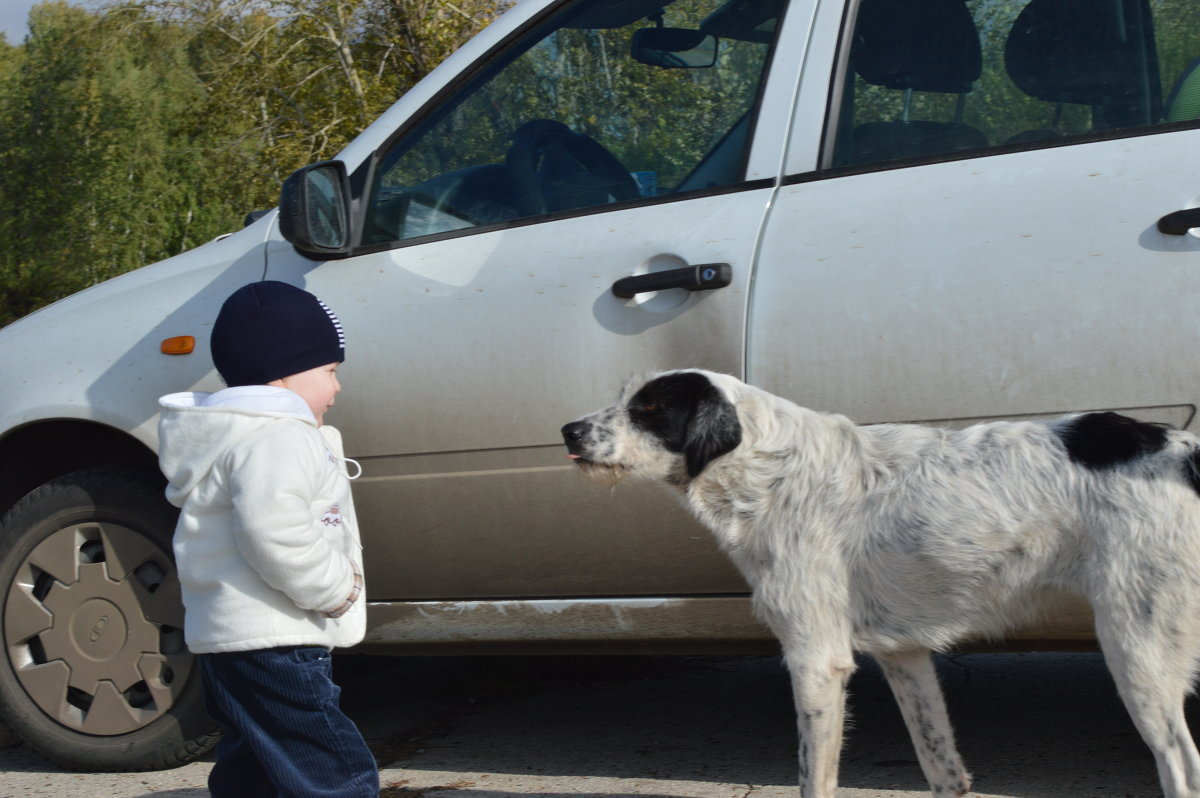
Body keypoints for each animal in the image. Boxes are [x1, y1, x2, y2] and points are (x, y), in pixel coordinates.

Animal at [561, 372, 1200, 796]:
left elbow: (814, 779)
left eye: (649, 406)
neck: (770, 467)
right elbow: (941, 767)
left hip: (1138, 650)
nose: (568, 429)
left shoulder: (816, 660)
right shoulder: (906, 656)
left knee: (1181, 763)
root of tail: (1183, 454)